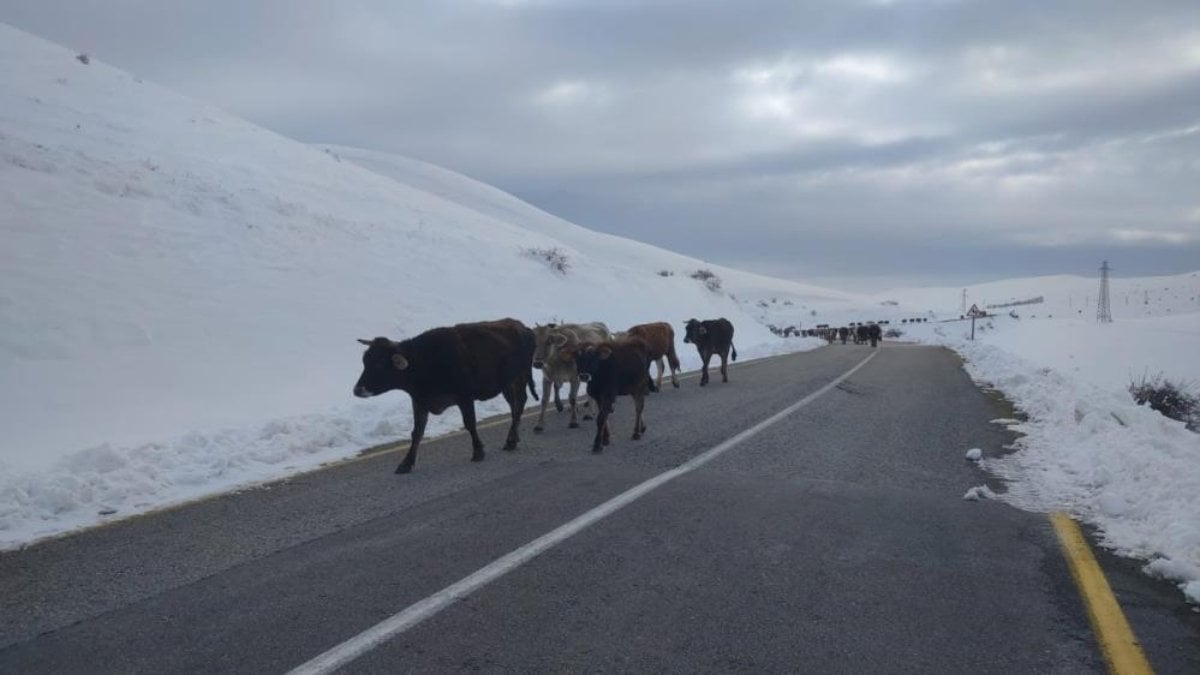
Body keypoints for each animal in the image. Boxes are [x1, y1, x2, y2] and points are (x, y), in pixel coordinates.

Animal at [352, 317, 537, 470]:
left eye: (379, 363)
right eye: (364, 361)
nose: (357, 390)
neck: (425, 361)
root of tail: (523, 327)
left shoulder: (465, 397)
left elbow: (470, 424)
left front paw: (478, 451)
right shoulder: (419, 402)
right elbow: (416, 432)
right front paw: (406, 463)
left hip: (520, 377)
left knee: (519, 405)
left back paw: (511, 441)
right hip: (507, 384)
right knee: (514, 407)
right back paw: (514, 438)